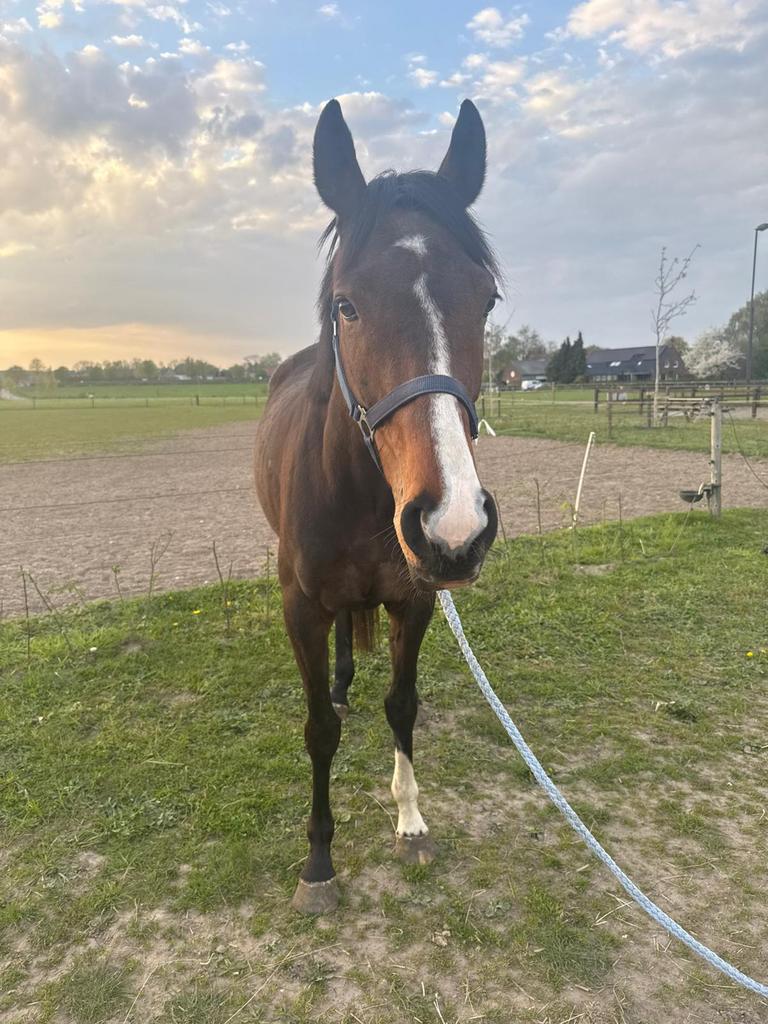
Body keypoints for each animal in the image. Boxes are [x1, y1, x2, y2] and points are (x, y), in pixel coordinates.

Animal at [254, 98, 500, 914]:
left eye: (486, 301)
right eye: (347, 304)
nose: (454, 526)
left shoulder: (415, 599)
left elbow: (402, 704)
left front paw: (411, 820)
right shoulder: (299, 605)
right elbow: (317, 731)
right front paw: (319, 859)